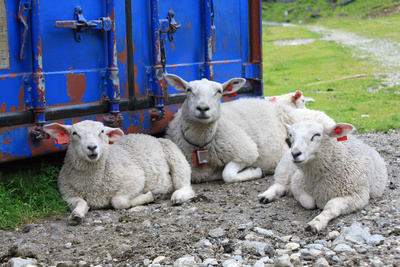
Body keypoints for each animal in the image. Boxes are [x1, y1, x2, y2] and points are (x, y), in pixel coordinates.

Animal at [43, 121, 195, 226]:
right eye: (74, 133)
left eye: (102, 131)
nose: (92, 147)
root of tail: (149, 136)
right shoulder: (67, 194)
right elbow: (80, 202)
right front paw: (76, 215)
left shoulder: (135, 178)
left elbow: (119, 201)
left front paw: (149, 196)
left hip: (175, 156)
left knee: (185, 184)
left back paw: (178, 196)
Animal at [162, 74, 294, 185]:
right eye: (188, 90)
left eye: (219, 91)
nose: (203, 108)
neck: (201, 145)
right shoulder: (199, 173)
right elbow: (216, 174)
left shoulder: (246, 152)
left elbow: (227, 175)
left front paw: (256, 171)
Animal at [258, 120, 386, 233]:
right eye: (291, 134)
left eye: (317, 135)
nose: (295, 153)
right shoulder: (297, 183)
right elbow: (308, 202)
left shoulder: (357, 196)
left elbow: (331, 207)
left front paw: (317, 222)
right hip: (284, 166)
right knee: (279, 184)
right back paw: (266, 196)